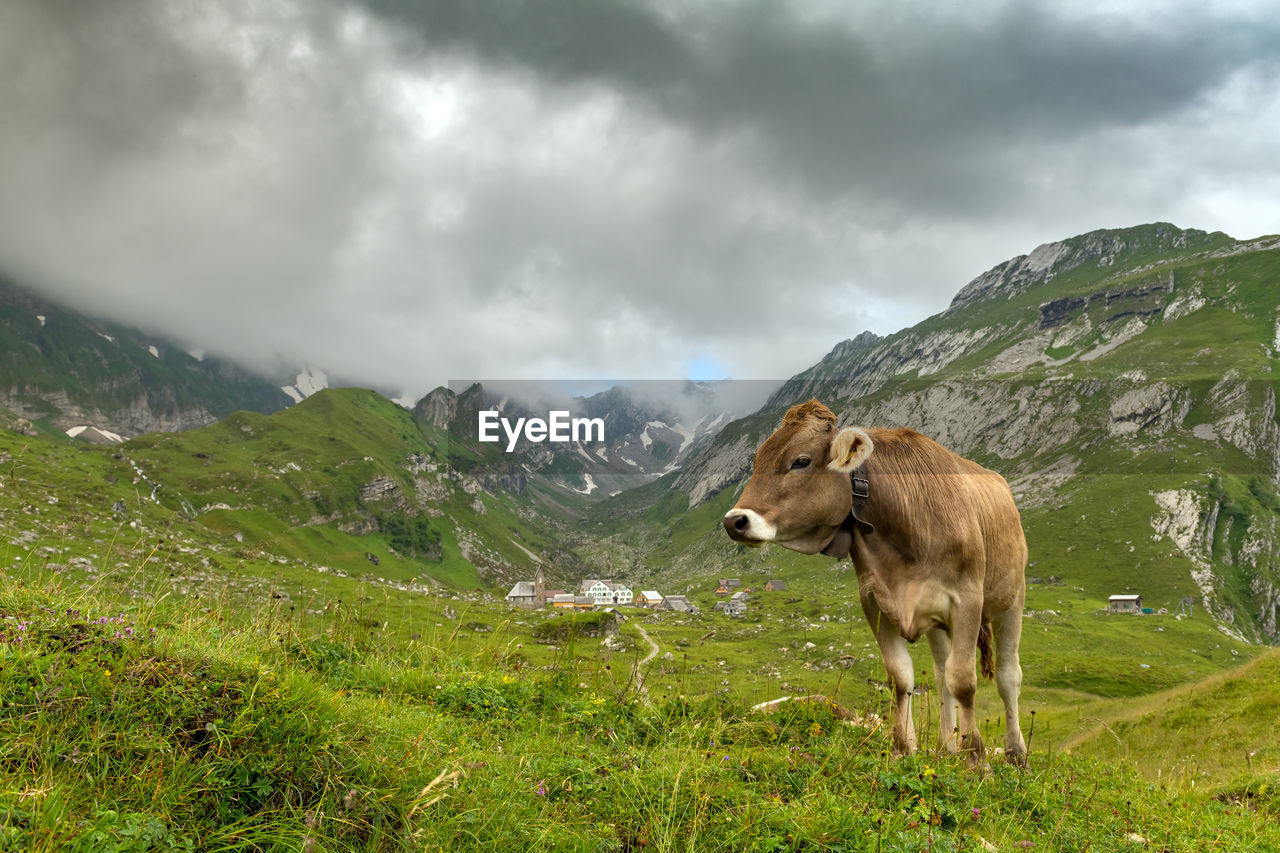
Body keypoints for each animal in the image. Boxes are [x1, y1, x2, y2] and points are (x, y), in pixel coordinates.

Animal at [721, 399, 1029, 763]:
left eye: (800, 461)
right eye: (756, 461)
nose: (734, 521)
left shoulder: (966, 600)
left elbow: (964, 681)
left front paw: (975, 757)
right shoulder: (874, 600)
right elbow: (900, 677)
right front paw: (903, 749)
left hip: (1012, 598)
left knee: (1007, 677)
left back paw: (1015, 753)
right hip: (938, 622)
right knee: (941, 674)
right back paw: (946, 745)